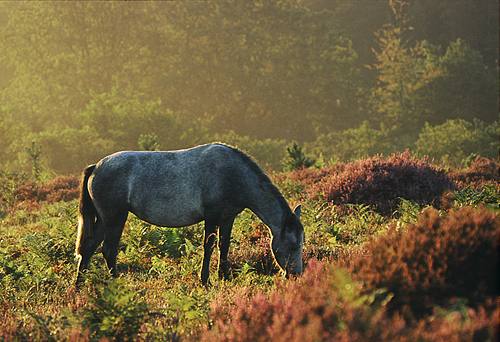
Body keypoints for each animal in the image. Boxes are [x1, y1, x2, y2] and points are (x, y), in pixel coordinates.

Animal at [74, 142, 304, 286]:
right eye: (293, 245)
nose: (296, 275)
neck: (233, 175)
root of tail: (97, 167)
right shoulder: (212, 217)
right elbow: (209, 246)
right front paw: (205, 280)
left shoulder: (228, 217)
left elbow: (224, 246)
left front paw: (224, 276)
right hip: (115, 218)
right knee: (108, 250)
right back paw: (115, 283)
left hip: (104, 220)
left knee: (89, 248)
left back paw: (78, 285)